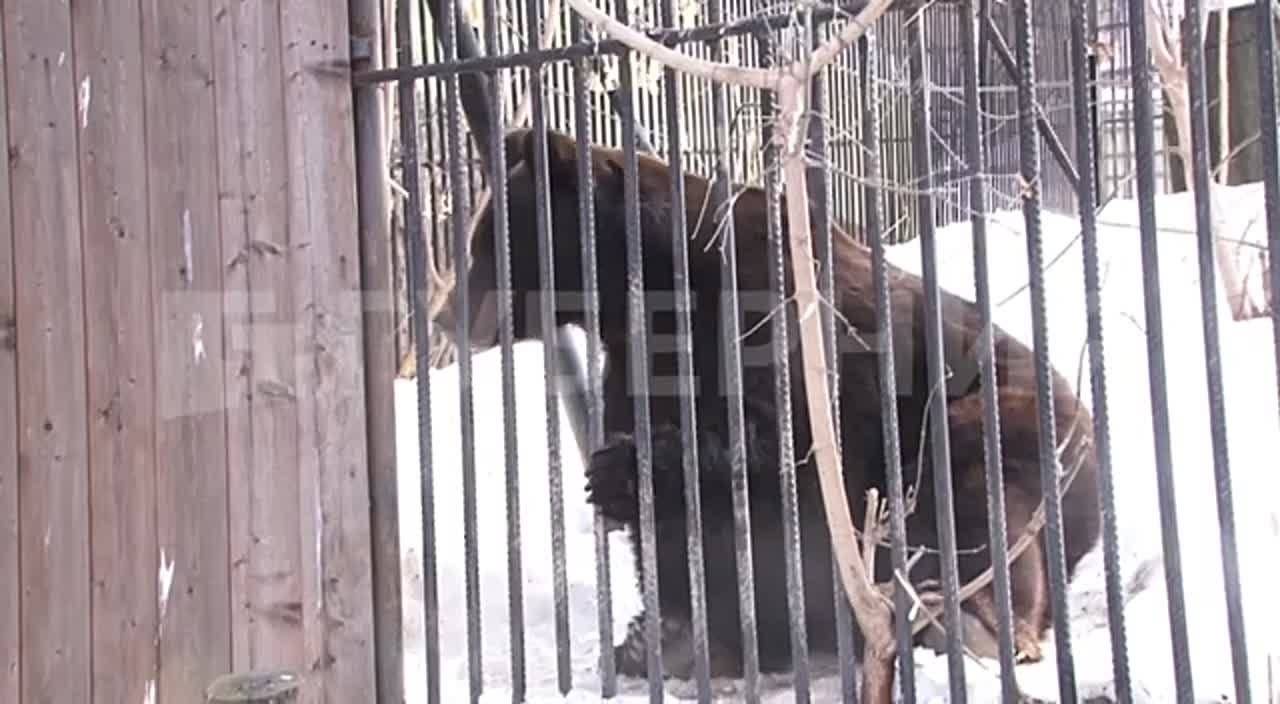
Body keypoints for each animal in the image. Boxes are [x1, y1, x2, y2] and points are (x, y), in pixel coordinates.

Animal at [437, 126, 1100, 686]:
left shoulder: (774, 306)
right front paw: (673, 629)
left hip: (1009, 417)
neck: (651, 287)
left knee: (981, 488)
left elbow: (779, 434)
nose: (445, 315)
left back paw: (970, 621)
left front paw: (621, 473)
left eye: (483, 242)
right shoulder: (640, 363)